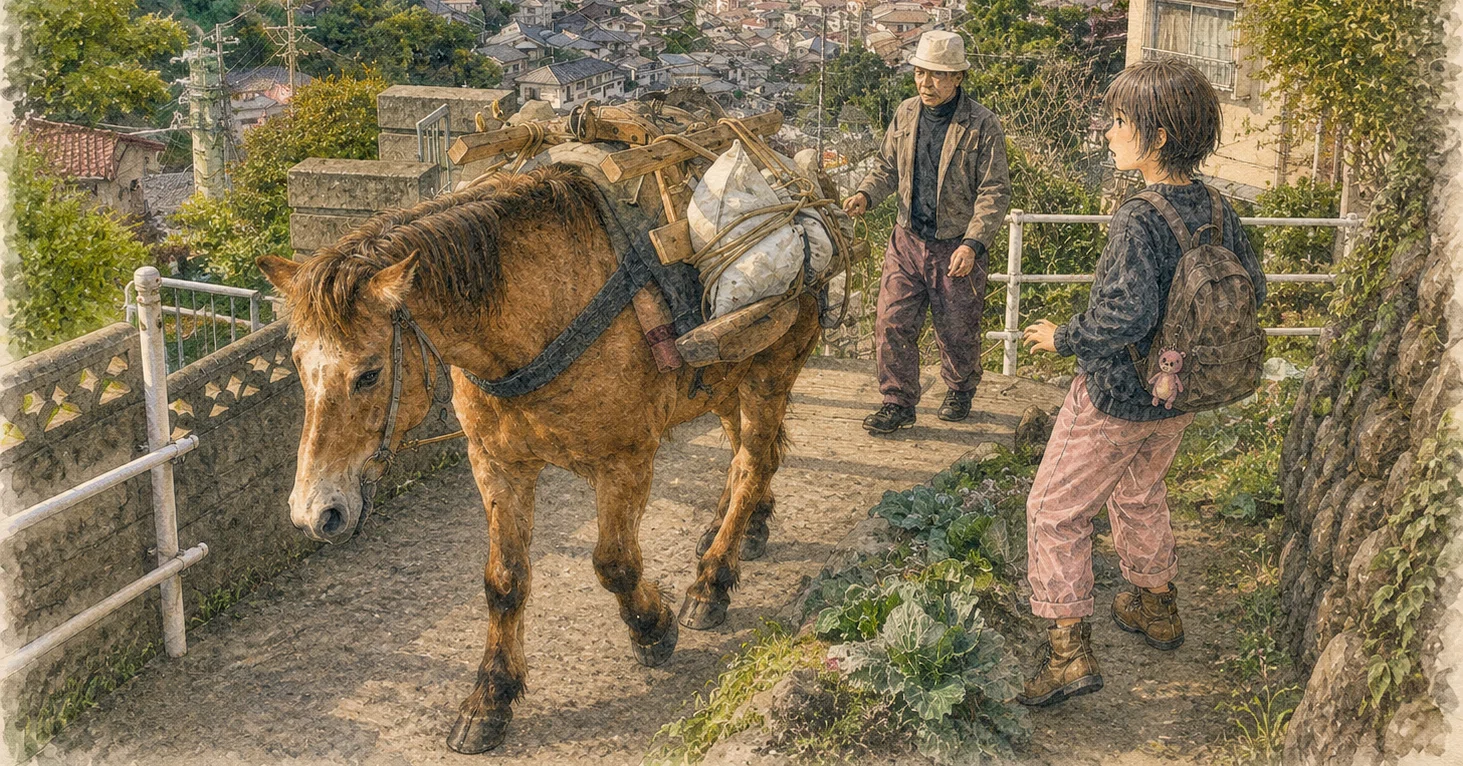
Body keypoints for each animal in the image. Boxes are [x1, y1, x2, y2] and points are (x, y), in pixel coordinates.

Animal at [256, 164, 823, 754]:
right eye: (296, 361)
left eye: (368, 374)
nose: (315, 511)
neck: (538, 311)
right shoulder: (495, 463)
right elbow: (504, 582)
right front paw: (490, 698)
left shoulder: (624, 460)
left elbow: (615, 564)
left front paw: (652, 627)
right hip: (727, 377)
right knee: (748, 455)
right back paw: (742, 527)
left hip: (771, 369)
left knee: (754, 461)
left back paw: (712, 580)